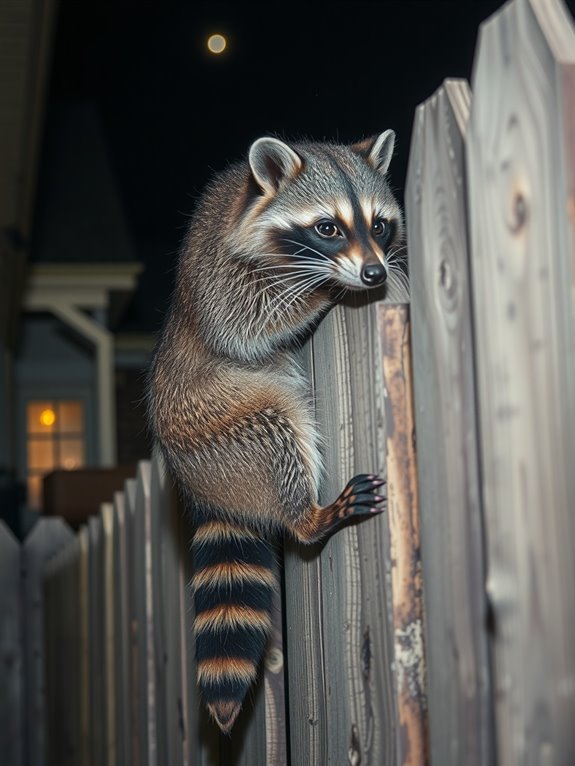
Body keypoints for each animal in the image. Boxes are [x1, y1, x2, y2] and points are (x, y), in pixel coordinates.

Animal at [147, 130, 405, 733]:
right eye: (328, 227)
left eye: (379, 224)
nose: (375, 274)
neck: (252, 199)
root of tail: (202, 485)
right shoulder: (218, 275)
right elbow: (240, 323)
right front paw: (323, 291)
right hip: (215, 420)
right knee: (277, 427)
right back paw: (306, 516)